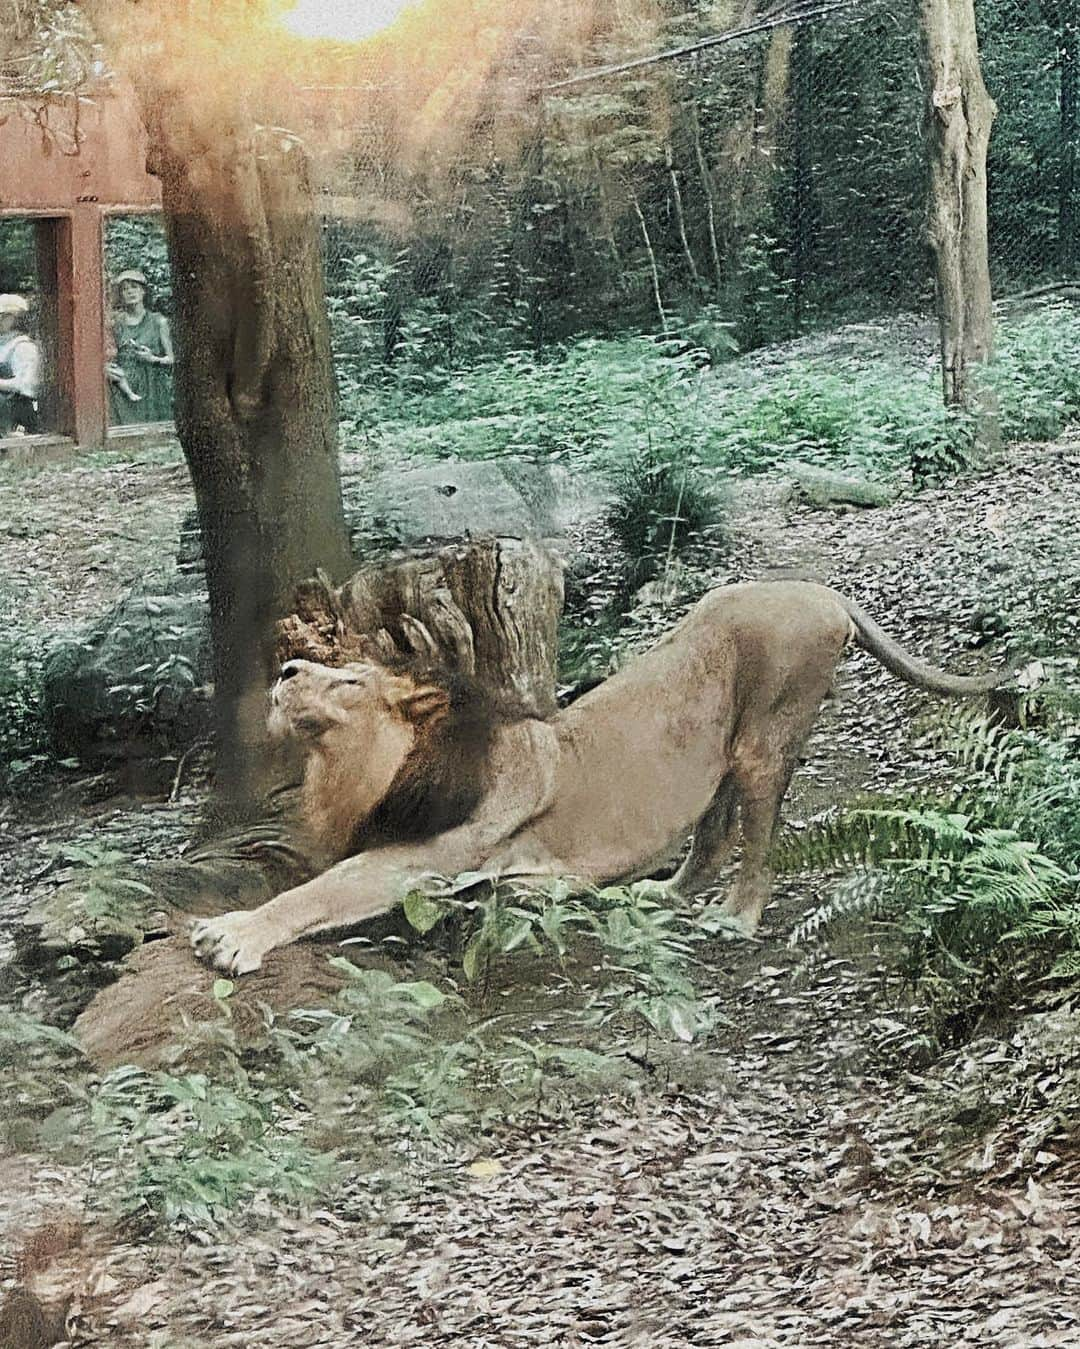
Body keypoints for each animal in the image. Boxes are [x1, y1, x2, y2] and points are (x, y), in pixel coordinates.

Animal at [191, 577, 1013, 971]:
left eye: (350, 679)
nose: (287, 669)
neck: (362, 768)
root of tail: (822, 590)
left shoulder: (427, 856)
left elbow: (318, 892)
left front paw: (232, 934)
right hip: (716, 751)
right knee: (709, 839)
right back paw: (656, 895)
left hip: (767, 729)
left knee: (757, 844)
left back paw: (734, 916)